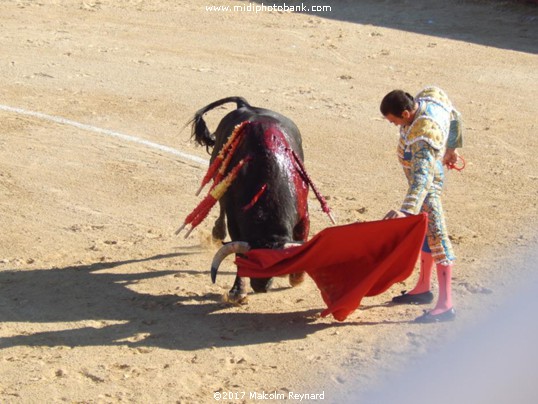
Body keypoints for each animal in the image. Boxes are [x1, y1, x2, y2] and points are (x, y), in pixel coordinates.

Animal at [188, 96, 310, 302]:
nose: (260, 287)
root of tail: (245, 105)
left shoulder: (303, 214)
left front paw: (297, 279)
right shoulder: (235, 219)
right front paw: (238, 292)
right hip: (218, 173)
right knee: (219, 202)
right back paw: (217, 232)